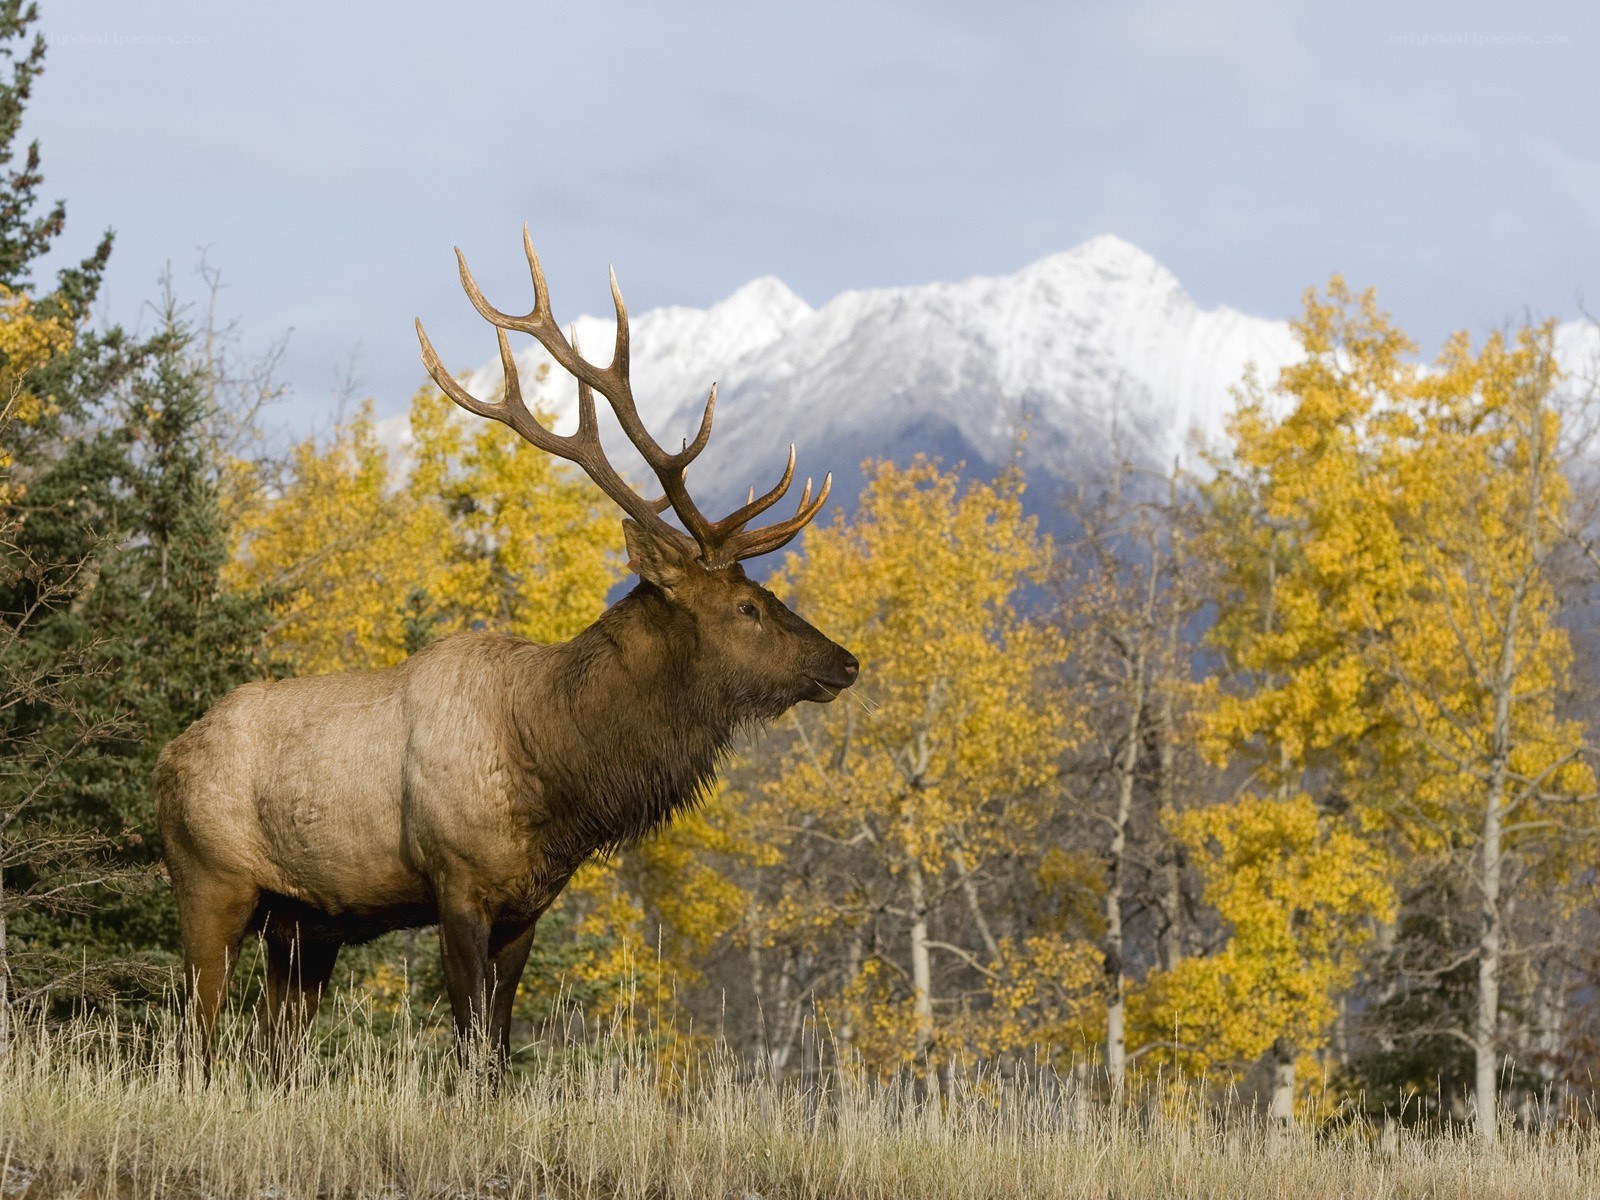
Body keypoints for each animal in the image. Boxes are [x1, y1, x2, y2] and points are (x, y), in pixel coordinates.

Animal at [155, 228, 858, 1072]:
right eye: (748, 606)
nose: (844, 661)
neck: (560, 775)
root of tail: (165, 760)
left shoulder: (529, 904)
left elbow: (497, 1046)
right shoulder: (455, 883)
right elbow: (470, 1044)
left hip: (305, 922)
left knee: (273, 1047)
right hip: (210, 882)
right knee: (194, 1036)